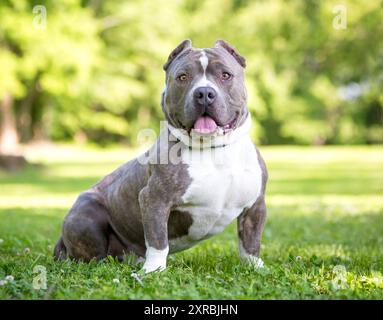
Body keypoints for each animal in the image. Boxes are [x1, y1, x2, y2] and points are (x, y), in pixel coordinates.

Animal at [54, 39, 268, 272]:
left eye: (226, 75)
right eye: (182, 77)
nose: (204, 93)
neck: (213, 151)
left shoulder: (256, 205)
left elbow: (250, 241)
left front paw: (256, 267)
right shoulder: (154, 198)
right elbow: (157, 240)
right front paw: (153, 270)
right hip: (86, 213)